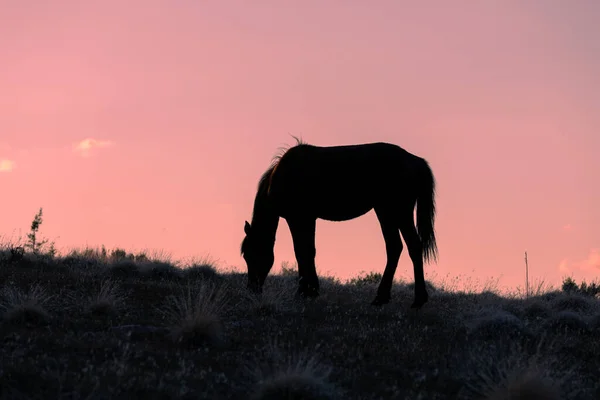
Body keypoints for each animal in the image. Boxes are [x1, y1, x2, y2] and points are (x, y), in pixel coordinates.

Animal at [240, 139, 440, 308]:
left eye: (251, 254)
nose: (252, 289)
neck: (284, 176)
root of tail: (416, 161)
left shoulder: (298, 218)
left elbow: (302, 251)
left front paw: (304, 291)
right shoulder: (308, 219)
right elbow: (308, 251)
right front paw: (310, 290)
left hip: (398, 211)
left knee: (412, 246)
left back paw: (417, 300)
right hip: (386, 211)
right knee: (395, 247)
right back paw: (382, 298)